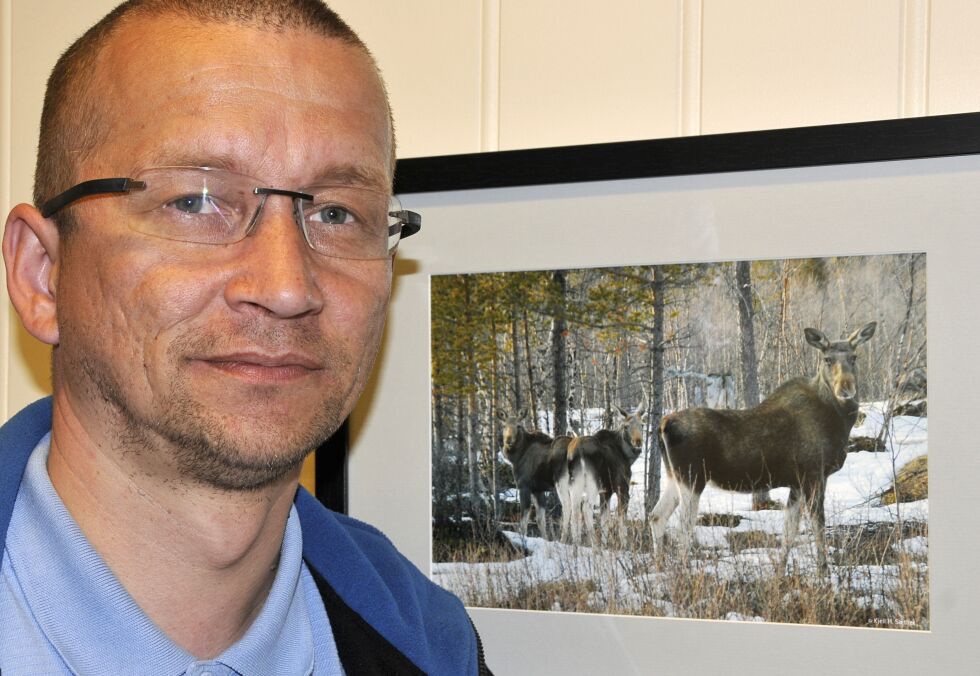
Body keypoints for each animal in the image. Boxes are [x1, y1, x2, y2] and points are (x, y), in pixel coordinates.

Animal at [502, 412, 572, 540]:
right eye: (504, 425)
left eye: (518, 425)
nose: (508, 440)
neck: (517, 456)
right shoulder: (538, 490)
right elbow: (540, 520)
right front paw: (545, 539)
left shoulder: (524, 486)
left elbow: (524, 520)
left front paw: (523, 539)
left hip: (562, 483)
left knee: (568, 507)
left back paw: (563, 538)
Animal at [564, 402, 648, 544]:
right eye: (626, 426)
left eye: (642, 424)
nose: (638, 442)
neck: (627, 456)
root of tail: (577, 452)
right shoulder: (622, 488)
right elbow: (621, 521)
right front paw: (623, 544)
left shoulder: (605, 492)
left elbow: (605, 521)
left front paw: (605, 543)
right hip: (591, 482)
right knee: (586, 508)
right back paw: (593, 543)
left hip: (575, 483)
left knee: (574, 509)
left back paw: (576, 543)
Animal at [656, 322, 876, 572]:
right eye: (827, 359)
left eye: (854, 357)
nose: (846, 388)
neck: (839, 420)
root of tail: (664, 424)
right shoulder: (814, 474)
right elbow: (818, 526)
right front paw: (823, 571)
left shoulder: (797, 482)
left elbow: (789, 531)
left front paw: (780, 571)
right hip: (692, 479)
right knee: (683, 528)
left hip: (674, 477)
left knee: (657, 517)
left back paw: (658, 567)